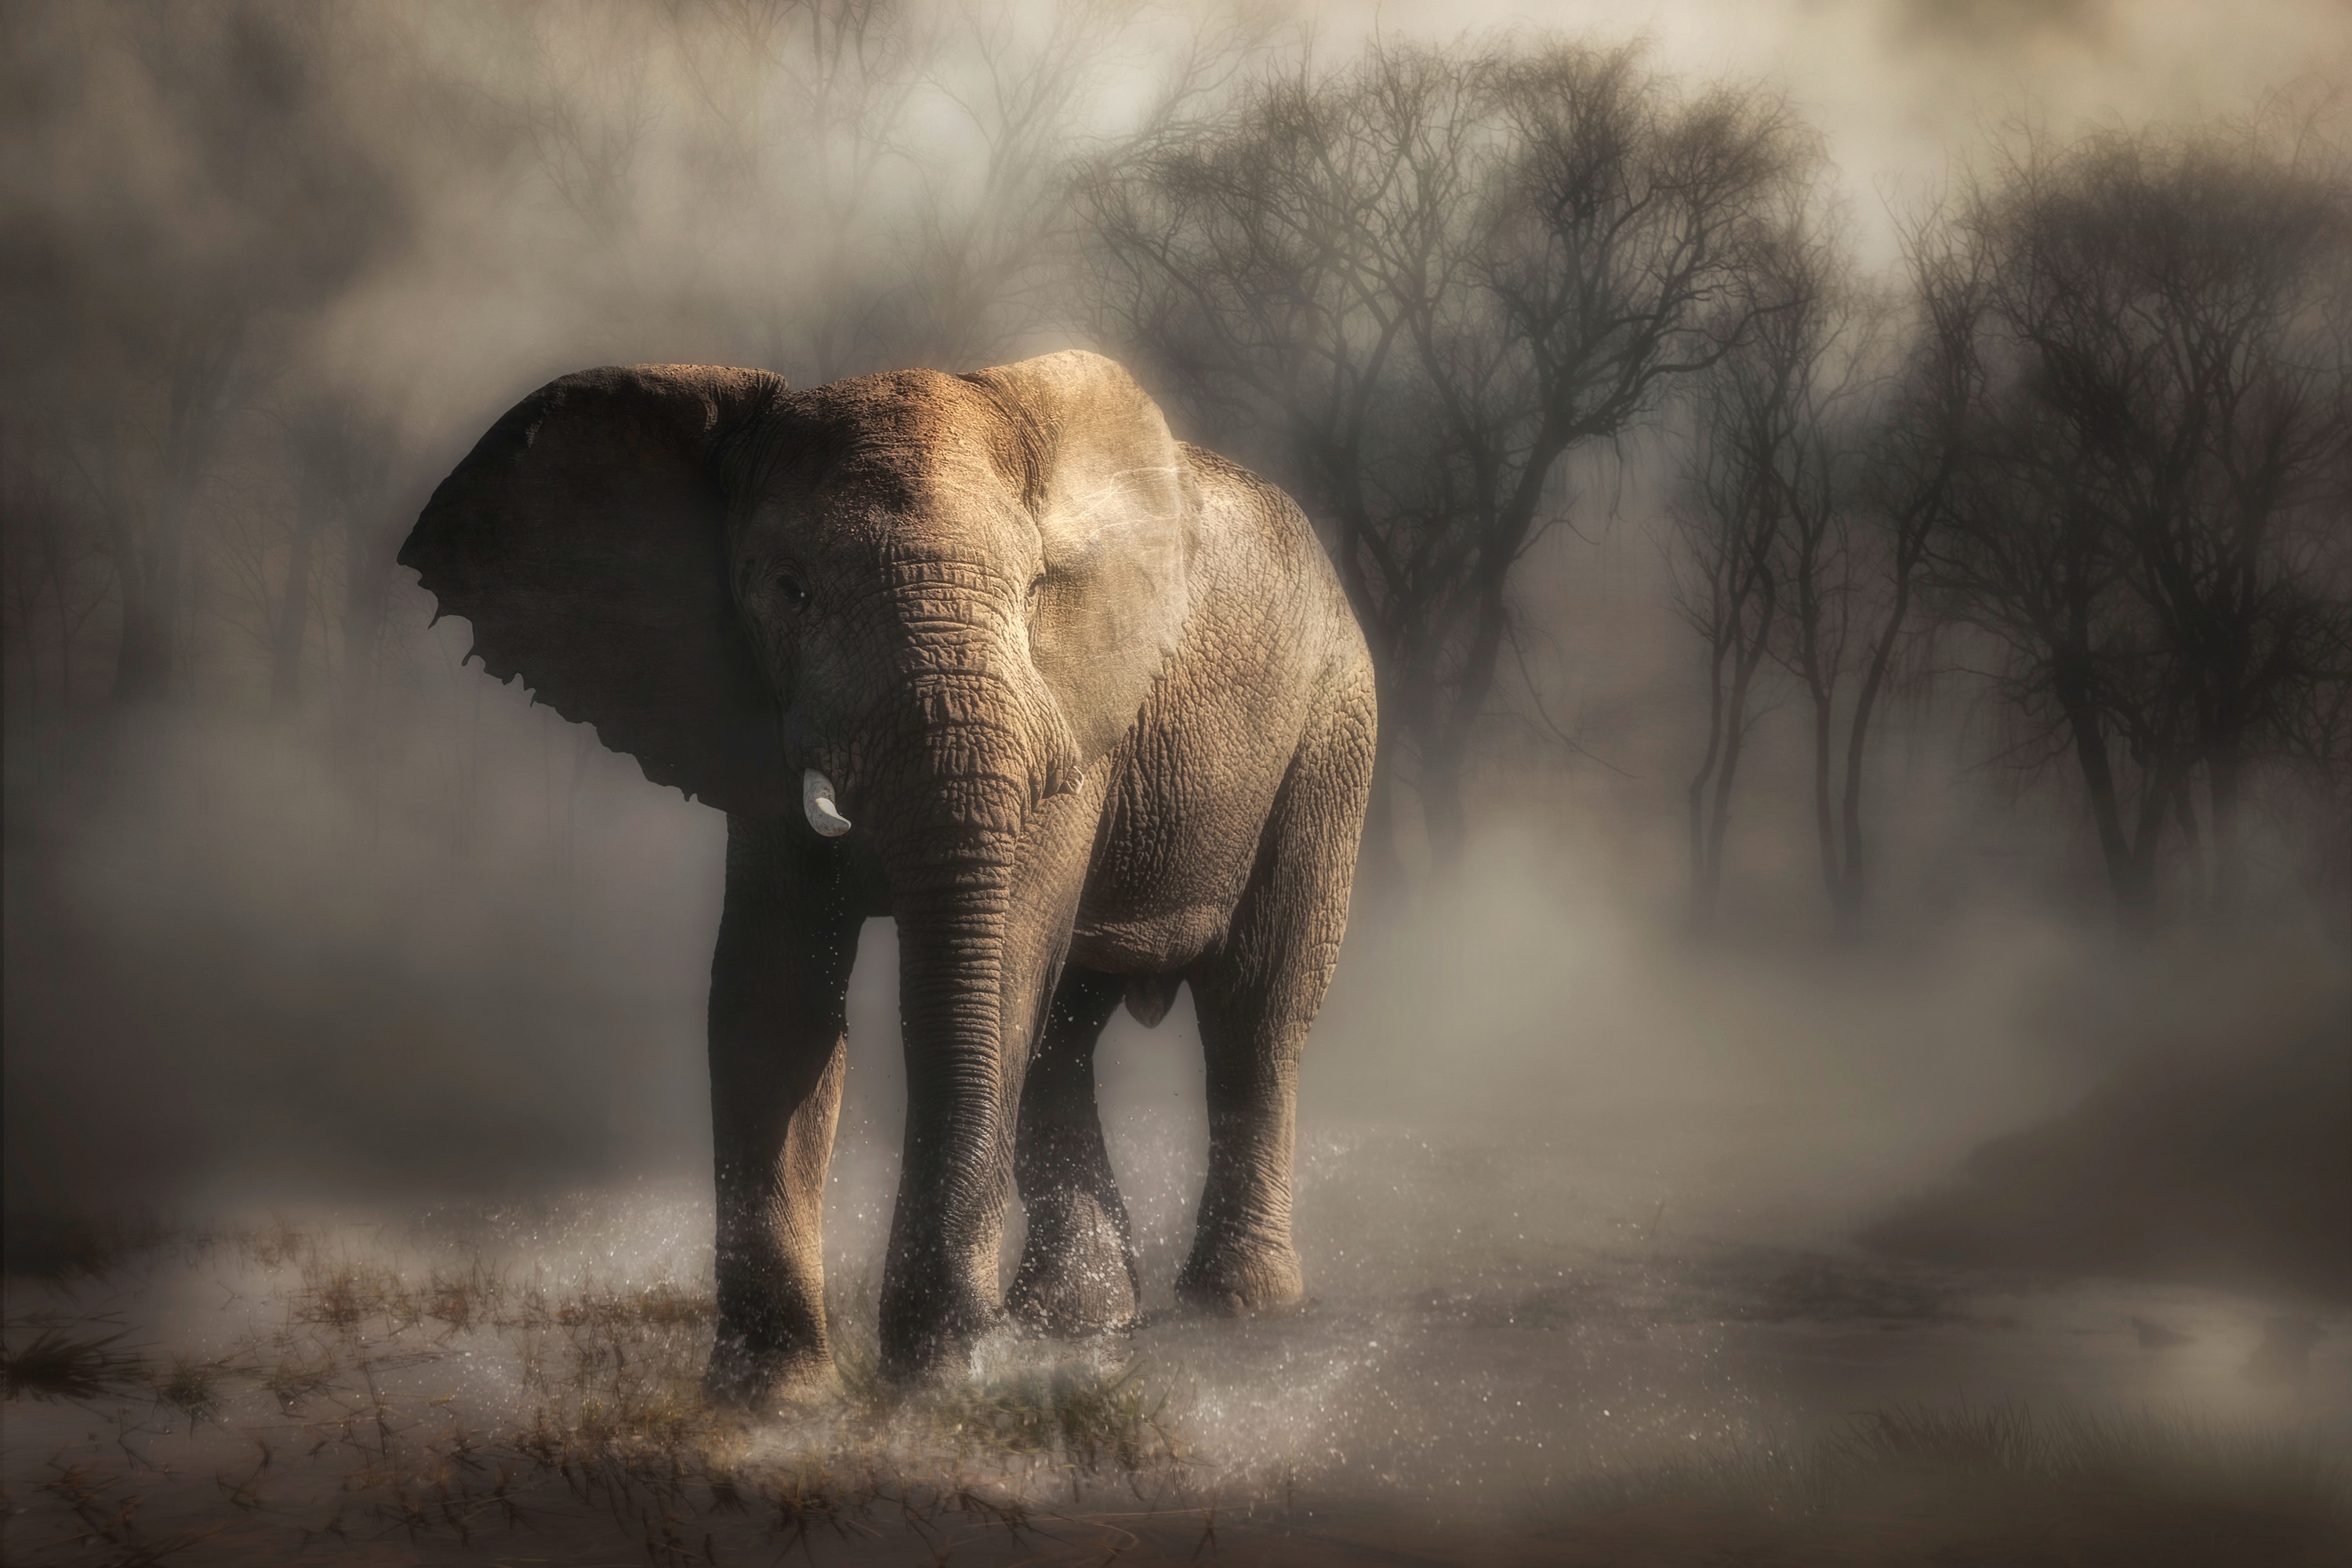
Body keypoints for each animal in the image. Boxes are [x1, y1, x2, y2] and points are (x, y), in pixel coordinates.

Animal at [399, 350, 1374, 1400]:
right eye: (790, 590)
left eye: (1034, 588)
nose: (964, 1341)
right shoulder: (754, 722)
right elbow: (771, 995)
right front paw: (778, 1398)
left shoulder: (1065, 715)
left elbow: (998, 971)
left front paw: (938, 1374)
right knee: (1066, 1033)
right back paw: (1072, 1321)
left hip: (1330, 730)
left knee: (1254, 1007)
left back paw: (1233, 1305)